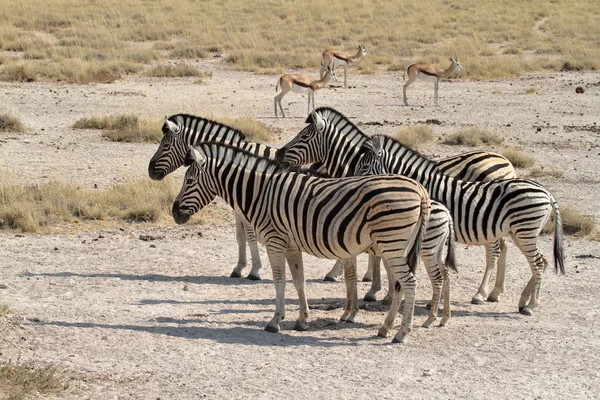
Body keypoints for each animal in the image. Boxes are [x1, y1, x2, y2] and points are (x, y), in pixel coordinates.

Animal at [148, 113, 278, 282]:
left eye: (165, 146)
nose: (150, 170)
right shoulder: (239, 209)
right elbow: (240, 237)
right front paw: (239, 268)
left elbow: (250, 236)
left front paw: (254, 270)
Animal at [173, 141, 432, 344]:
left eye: (189, 180)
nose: (174, 213)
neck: (260, 193)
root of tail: (420, 189)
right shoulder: (291, 246)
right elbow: (299, 282)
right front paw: (302, 320)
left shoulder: (275, 242)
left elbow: (279, 282)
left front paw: (275, 321)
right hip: (398, 246)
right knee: (400, 285)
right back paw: (385, 328)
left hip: (392, 243)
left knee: (409, 283)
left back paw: (401, 333)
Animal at [276, 107, 564, 316]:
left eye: (304, 136)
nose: (279, 154)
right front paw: (381, 289)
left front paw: (377, 289)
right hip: (507, 228)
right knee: (518, 255)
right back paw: (502, 295)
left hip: (515, 229)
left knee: (519, 258)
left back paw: (506, 299)